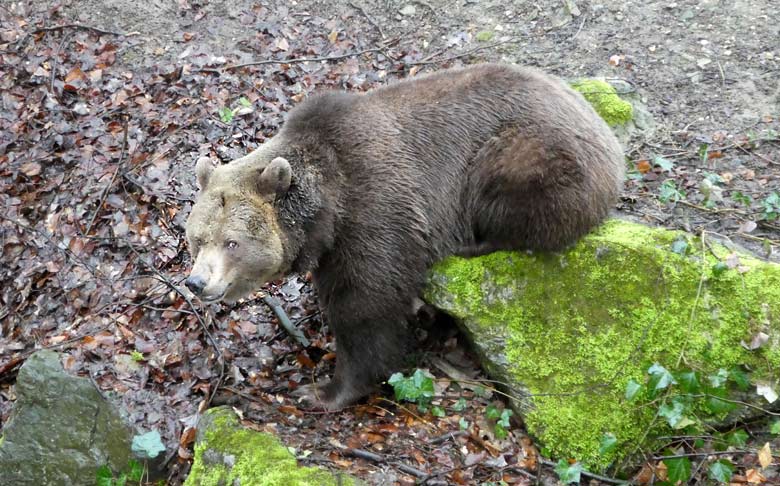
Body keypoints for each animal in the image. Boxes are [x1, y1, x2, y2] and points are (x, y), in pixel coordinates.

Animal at [184, 60, 628, 410]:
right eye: (198, 238)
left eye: (232, 242)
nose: (197, 282)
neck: (327, 209)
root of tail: (604, 130)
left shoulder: (375, 207)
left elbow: (367, 306)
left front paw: (326, 390)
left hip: (526, 151)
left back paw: (473, 245)